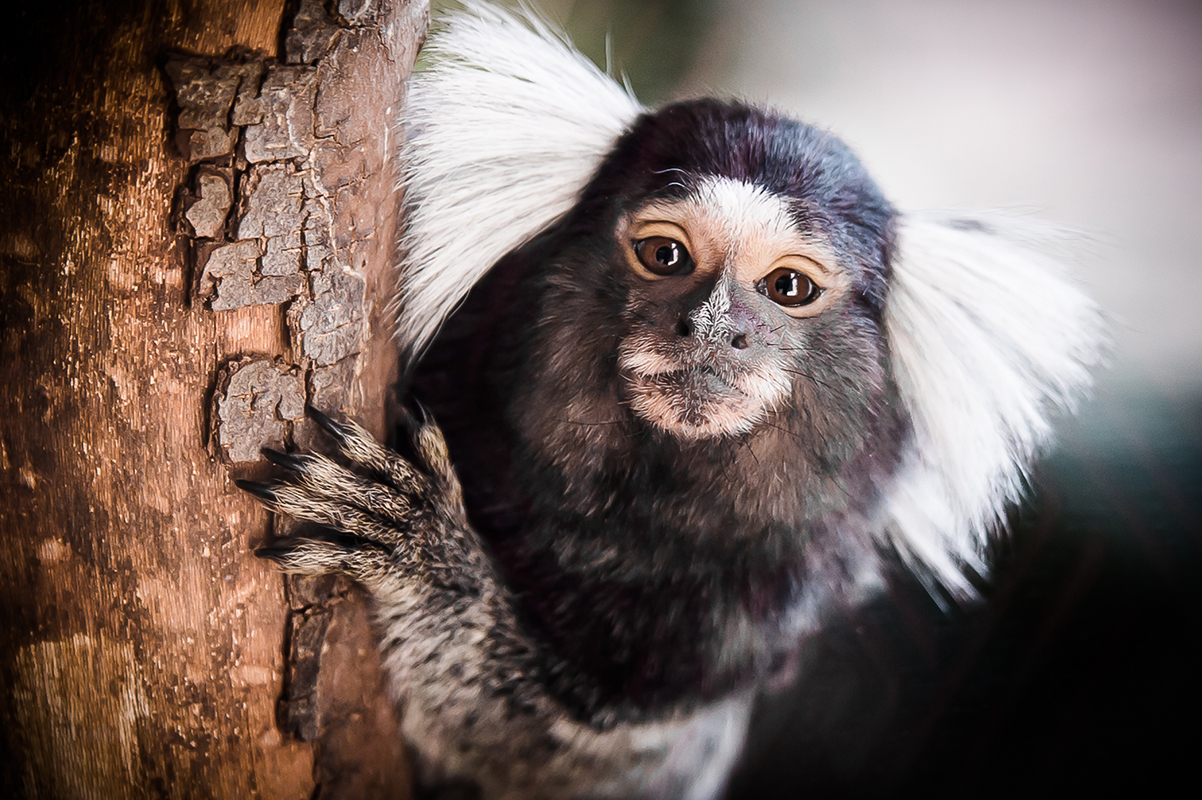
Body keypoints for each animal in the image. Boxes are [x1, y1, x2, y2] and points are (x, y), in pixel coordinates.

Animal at [241, 6, 1105, 797]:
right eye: (665, 255)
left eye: (789, 288)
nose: (712, 329)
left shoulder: (738, 630)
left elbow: (554, 749)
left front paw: (431, 557)